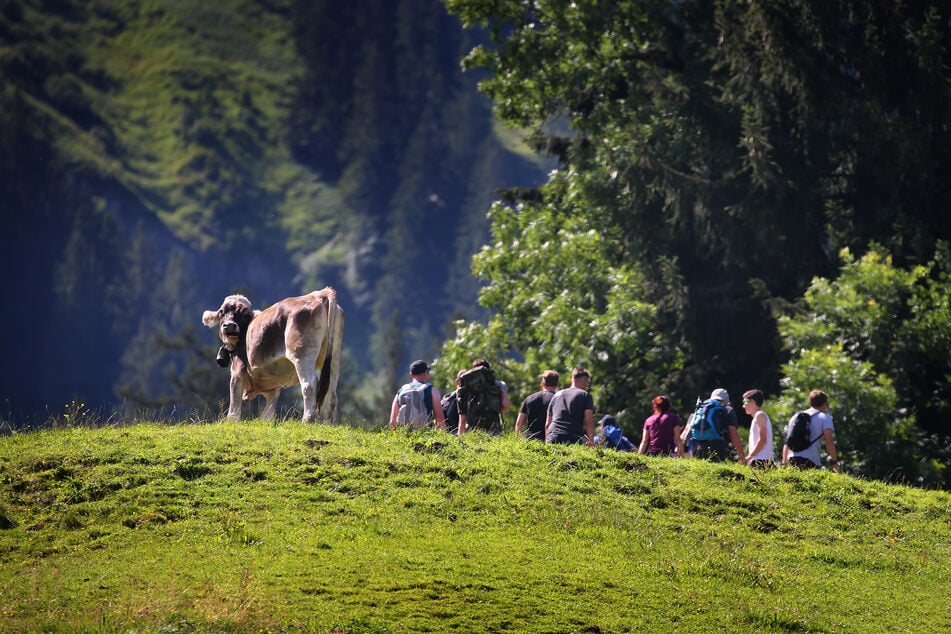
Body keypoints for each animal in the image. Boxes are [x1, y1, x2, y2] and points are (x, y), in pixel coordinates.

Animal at [202, 288, 346, 422]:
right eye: (221, 312)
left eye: (245, 314)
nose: (229, 326)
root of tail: (318, 294)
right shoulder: (274, 387)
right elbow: (268, 414)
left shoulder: (238, 371)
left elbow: (234, 402)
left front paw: (231, 420)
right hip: (334, 357)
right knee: (331, 394)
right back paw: (327, 424)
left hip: (302, 355)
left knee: (309, 385)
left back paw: (306, 420)